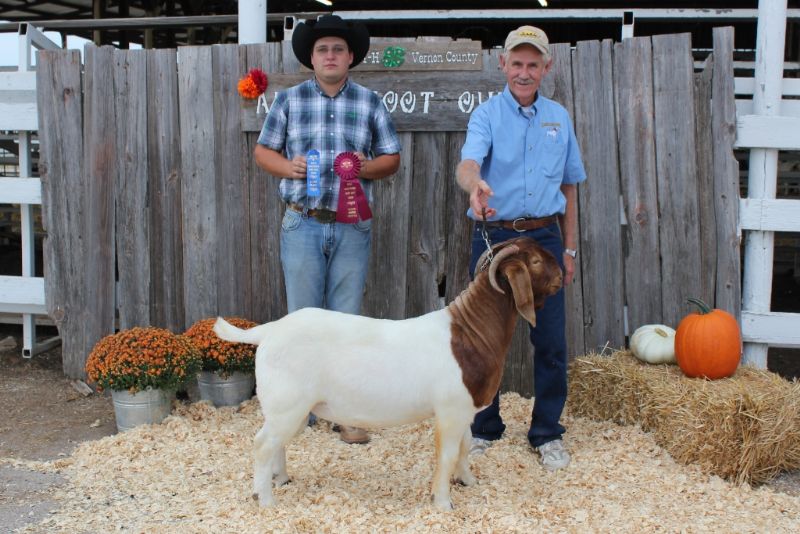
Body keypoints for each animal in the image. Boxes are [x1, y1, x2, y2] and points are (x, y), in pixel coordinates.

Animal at [212, 238, 564, 510]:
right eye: (534, 260)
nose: (562, 273)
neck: (469, 333)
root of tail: (268, 331)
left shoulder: (463, 409)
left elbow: (464, 448)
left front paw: (468, 481)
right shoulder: (450, 411)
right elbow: (447, 454)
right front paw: (443, 503)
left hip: (289, 408)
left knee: (276, 444)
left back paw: (281, 479)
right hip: (288, 403)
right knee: (262, 445)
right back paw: (266, 501)